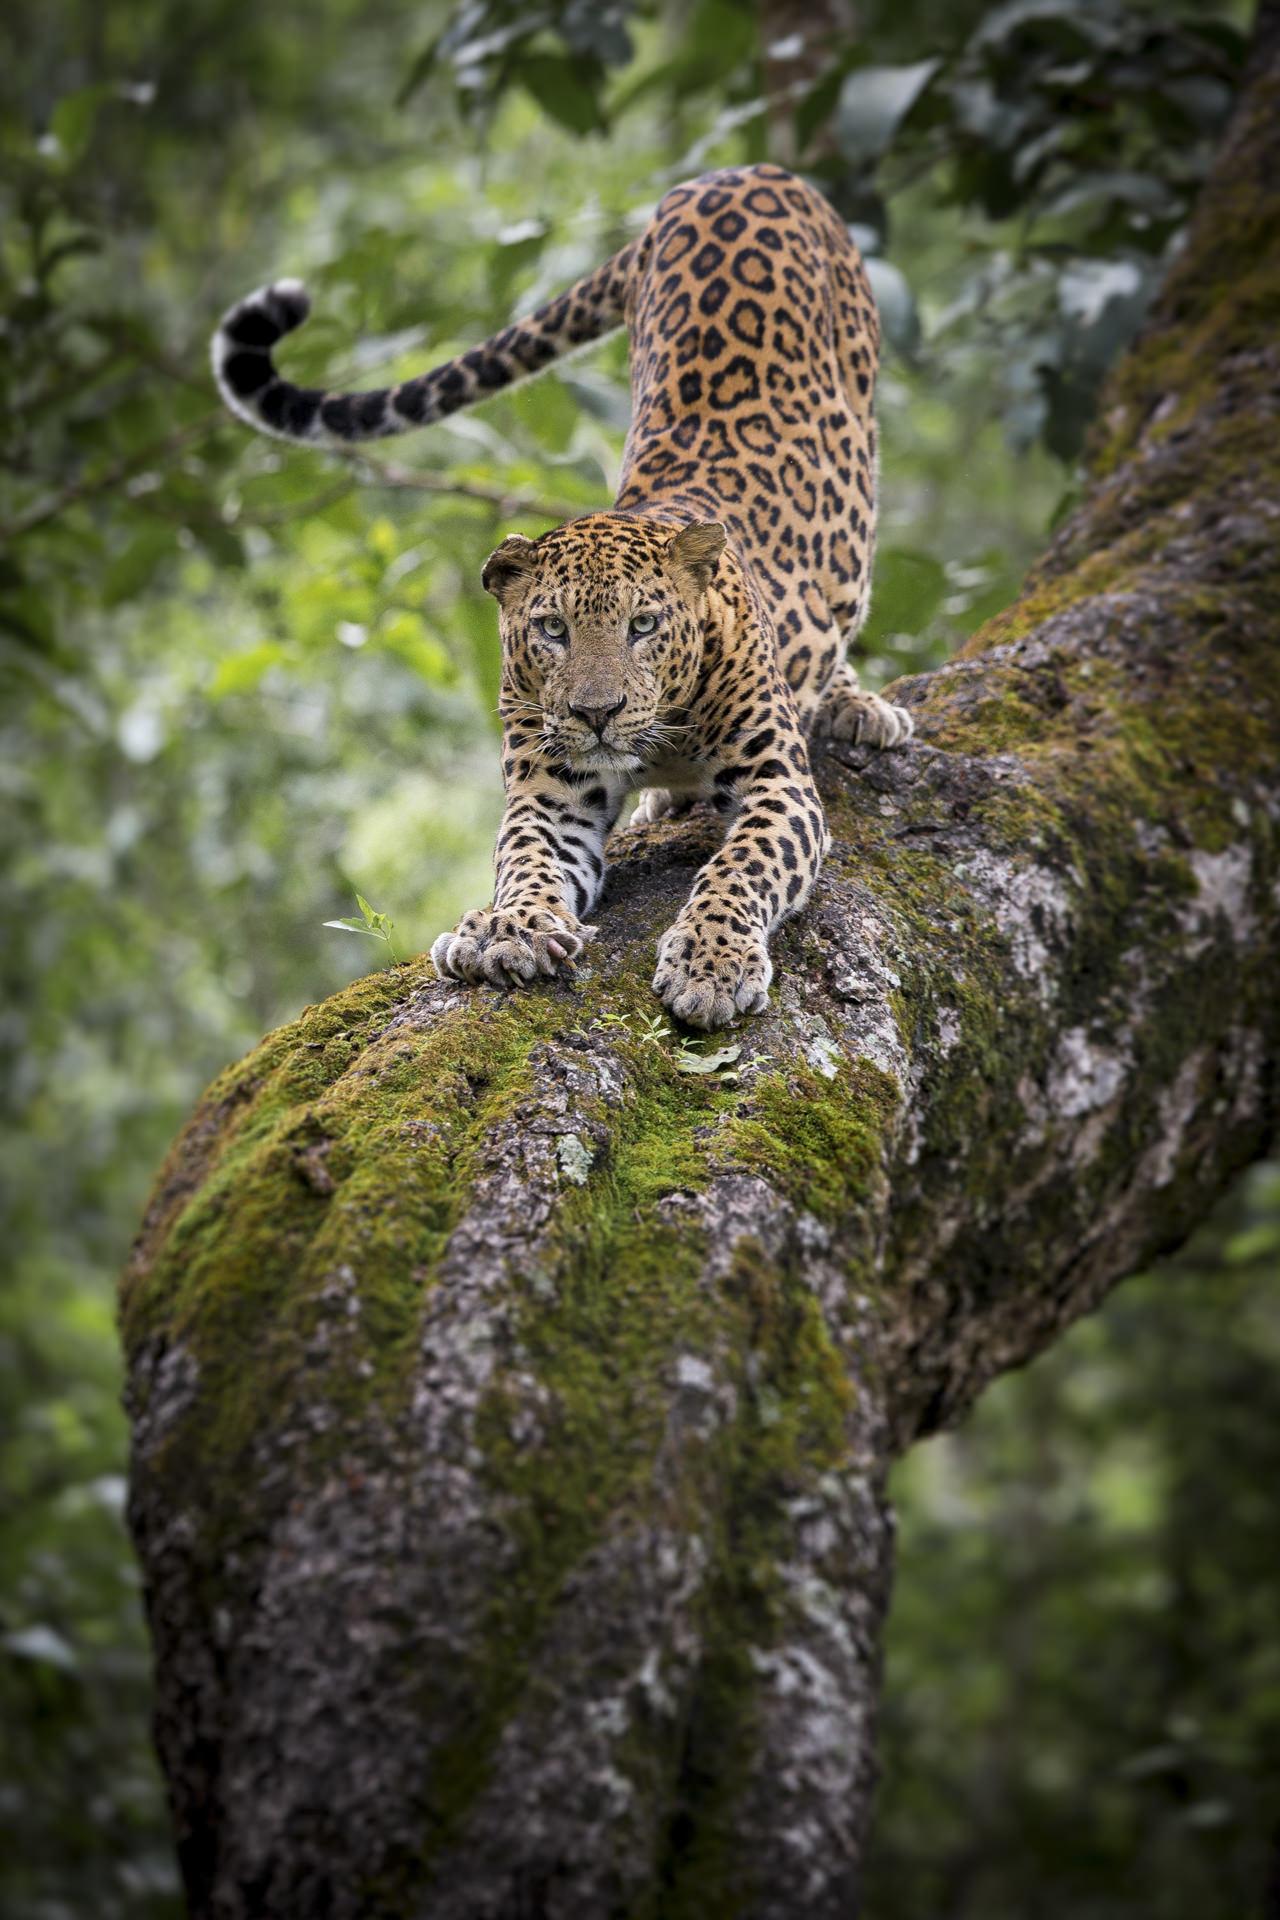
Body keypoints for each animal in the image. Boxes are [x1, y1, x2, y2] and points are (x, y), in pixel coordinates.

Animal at [213, 163, 909, 1029]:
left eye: (644, 624)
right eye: (551, 629)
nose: (596, 713)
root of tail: (734, 174)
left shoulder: (778, 785)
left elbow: (742, 867)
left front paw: (711, 964)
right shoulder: (550, 791)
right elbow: (525, 857)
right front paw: (506, 927)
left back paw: (853, 706)